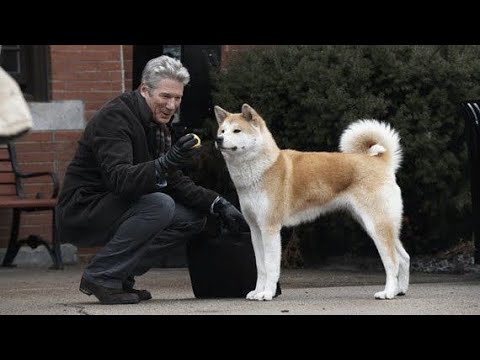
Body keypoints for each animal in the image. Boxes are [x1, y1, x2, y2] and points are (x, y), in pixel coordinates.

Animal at [216, 102, 410, 300]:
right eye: (222, 130)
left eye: (237, 130)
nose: (218, 139)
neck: (264, 168)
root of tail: (381, 162)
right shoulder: (256, 229)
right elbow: (261, 267)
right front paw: (257, 292)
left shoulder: (270, 228)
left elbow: (270, 267)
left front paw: (267, 293)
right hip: (377, 224)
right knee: (404, 258)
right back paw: (399, 290)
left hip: (377, 226)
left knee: (393, 261)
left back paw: (388, 292)